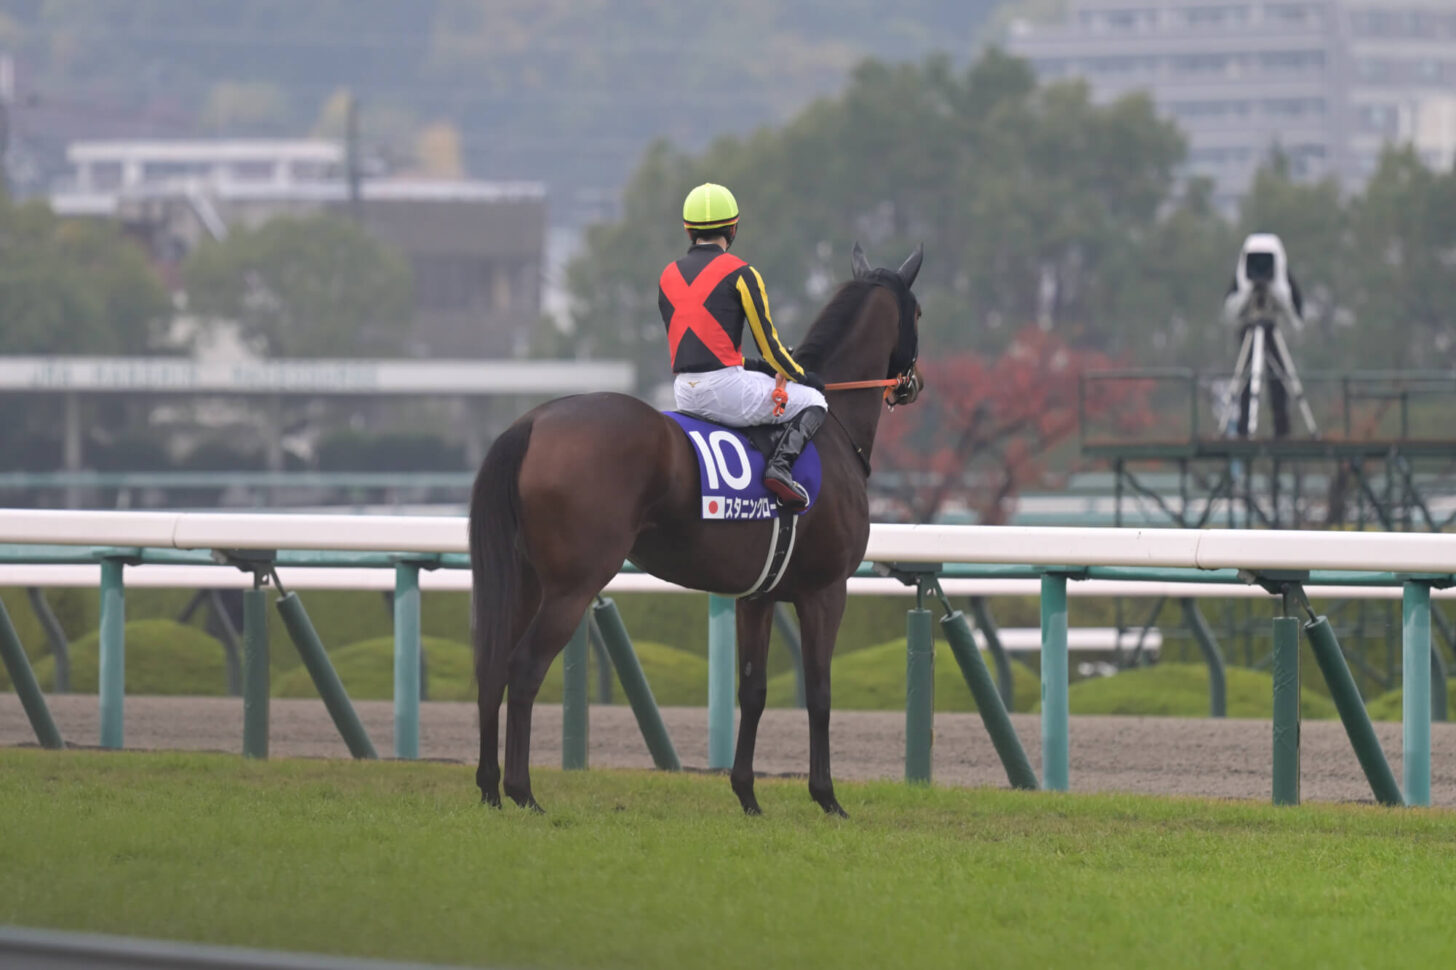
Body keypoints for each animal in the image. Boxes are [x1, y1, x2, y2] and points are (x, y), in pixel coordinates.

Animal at [468, 240, 920, 809]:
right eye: (918, 312)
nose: (912, 385)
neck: (833, 426)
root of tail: (531, 422)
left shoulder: (758, 596)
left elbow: (754, 691)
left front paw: (747, 795)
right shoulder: (826, 589)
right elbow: (819, 693)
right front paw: (827, 797)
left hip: (525, 578)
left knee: (491, 667)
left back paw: (490, 787)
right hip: (573, 585)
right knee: (524, 668)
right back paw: (523, 792)